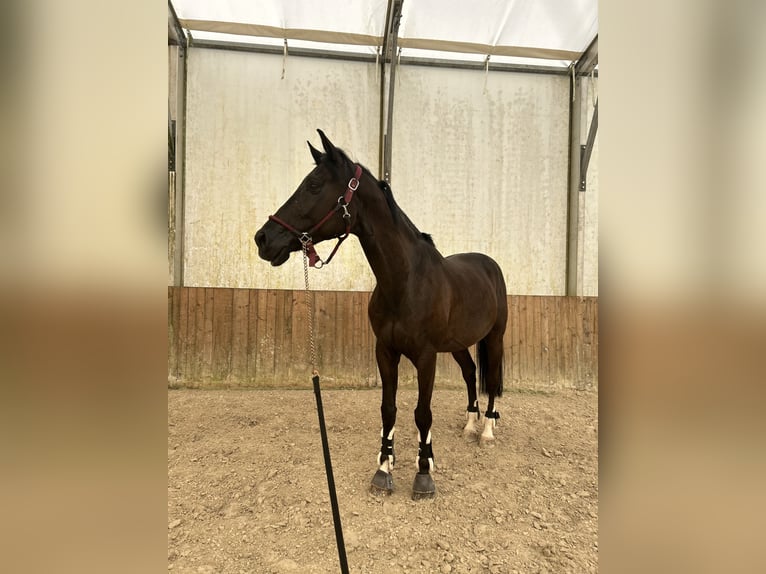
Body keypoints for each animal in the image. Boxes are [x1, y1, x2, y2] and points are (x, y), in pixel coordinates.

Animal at [256, 130, 510, 500]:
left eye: (314, 185)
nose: (263, 239)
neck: (405, 281)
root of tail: (489, 263)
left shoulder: (426, 357)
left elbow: (422, 413)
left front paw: (423, 474)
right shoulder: (386, 351)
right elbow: (388, 409)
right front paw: (384, 469)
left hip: (494, 338)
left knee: (490, 378)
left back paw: (487, 430)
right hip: (458, 345)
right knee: (469, 373)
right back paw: (469, 425)